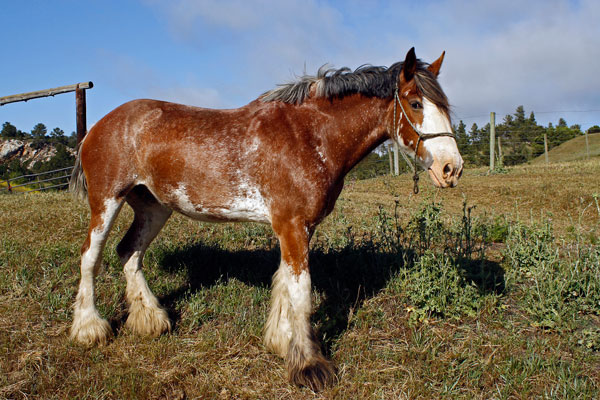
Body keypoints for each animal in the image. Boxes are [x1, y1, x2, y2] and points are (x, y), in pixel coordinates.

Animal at [70, 47, 464, 390]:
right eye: (415, 103)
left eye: (445, 106)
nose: (452, 168)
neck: (309, 135)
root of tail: (97, 127)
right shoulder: (291, 225)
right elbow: (301, 291)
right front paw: (309, 365)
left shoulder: (300, 227)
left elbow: (285, 283)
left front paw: (281, 341)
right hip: (106, 202)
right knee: (91, 257)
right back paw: (89, 328)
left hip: (154, 207)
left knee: (129, 253)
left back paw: (150, 320)